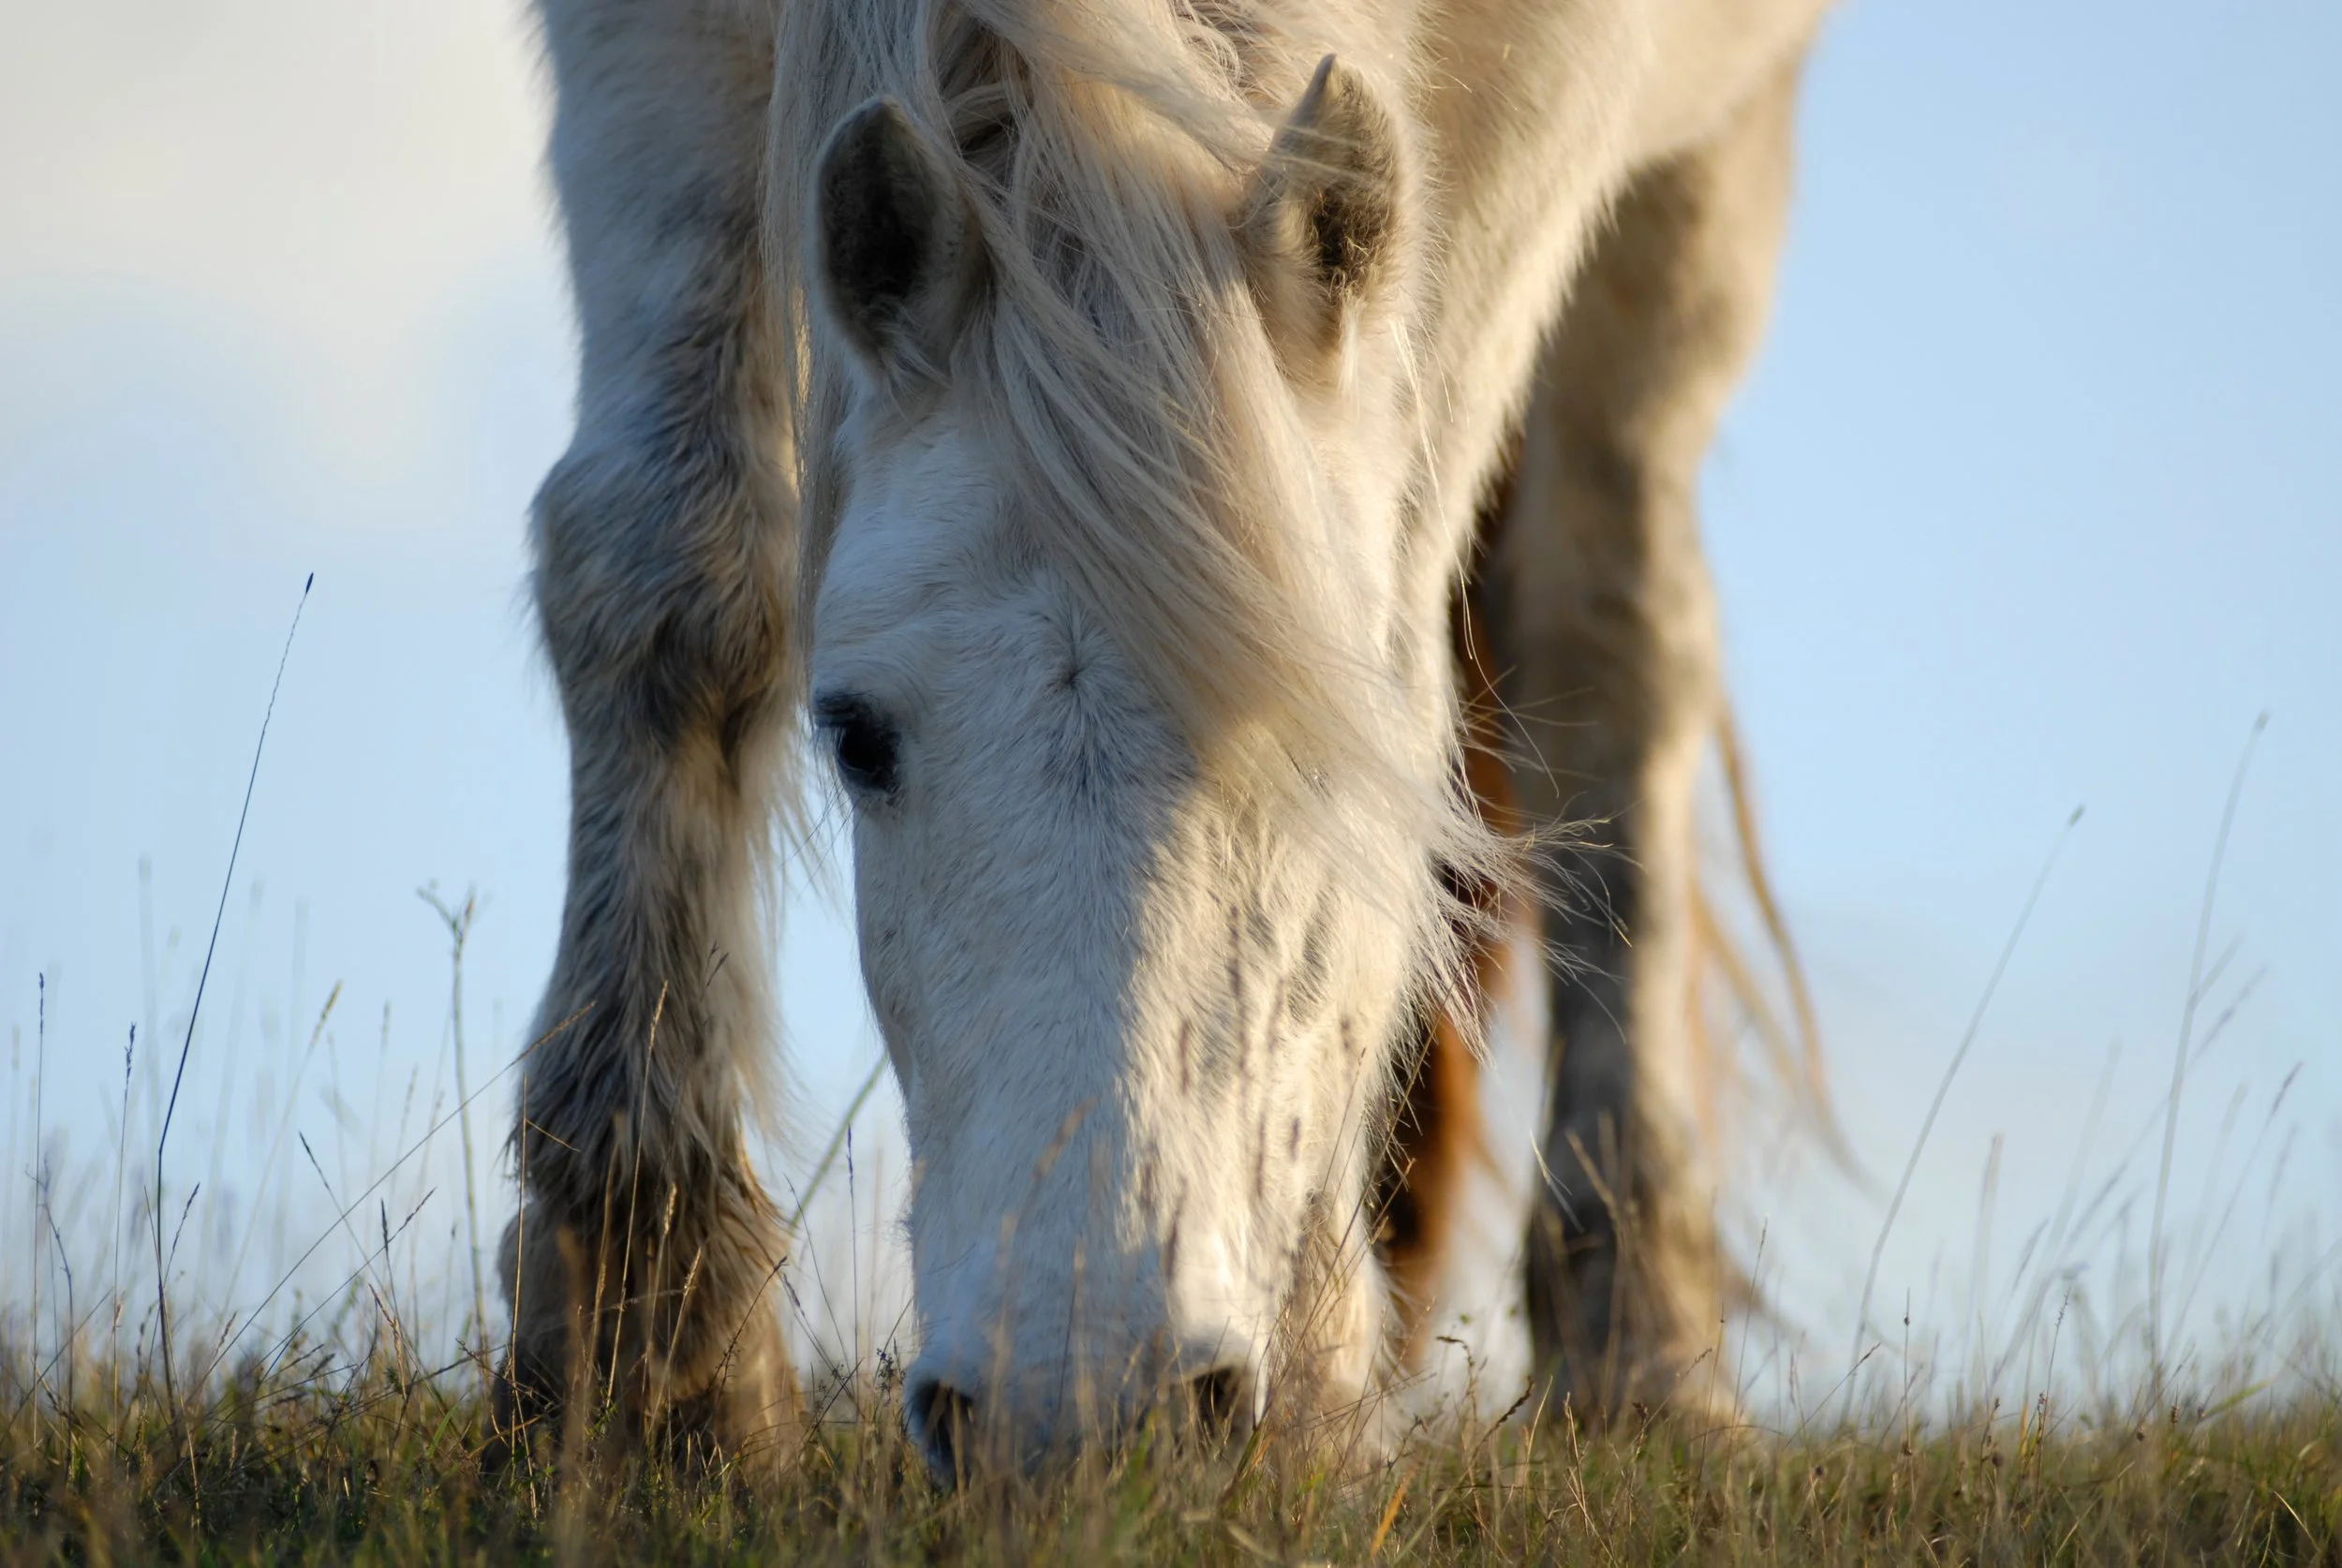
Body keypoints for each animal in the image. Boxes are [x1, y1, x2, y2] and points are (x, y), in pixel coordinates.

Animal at [499, 0, 1832, 1478]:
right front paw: (645, 1344)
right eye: (852, 738)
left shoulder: (1556, 94)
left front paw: (1310, 1358)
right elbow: (669, 563)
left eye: (1330, 750)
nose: (1075, 1411)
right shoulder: (647, 46)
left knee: (1614, 637)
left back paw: (1642, 1349)